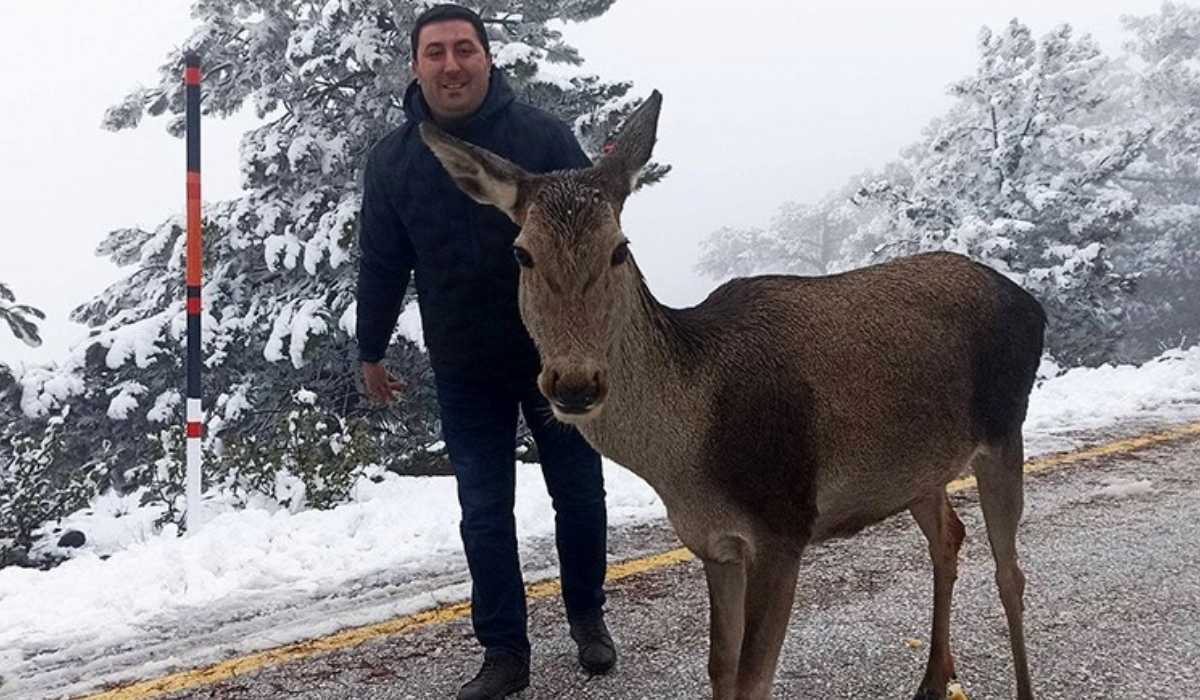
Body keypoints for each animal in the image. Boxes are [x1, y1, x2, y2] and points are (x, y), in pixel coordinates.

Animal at [420, 91, 1041, 700]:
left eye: (620, 248)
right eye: (522, 253)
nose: (575, 382)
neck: (690, 462)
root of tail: (1030, 301)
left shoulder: (784, 524)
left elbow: (752, 678)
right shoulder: (713, 542)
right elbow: (720, 667)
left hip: (1003, 428)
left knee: (1010, 571)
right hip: (917, 467)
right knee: (950, 538)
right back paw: (933, 680)